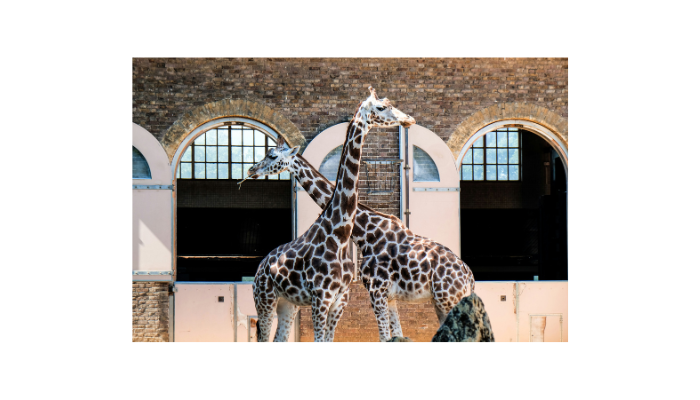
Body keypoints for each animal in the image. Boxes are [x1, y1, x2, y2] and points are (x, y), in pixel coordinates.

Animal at [248, 126, 476, 343]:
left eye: (272, 156)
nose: (251, 169)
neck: (365, 233)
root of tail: (469, 277)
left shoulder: (376, 290)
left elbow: (384, 337)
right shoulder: (389, 297)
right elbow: (396, 335)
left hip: (447, 299)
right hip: (443, 301)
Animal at [252, 86, 415, 342]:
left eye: (272, 156)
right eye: (381, 107)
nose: (252, 169)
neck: (341, 233)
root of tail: (261, 266)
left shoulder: (342, 298)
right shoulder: (322, 297)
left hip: (288, 303)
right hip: (266, 299)